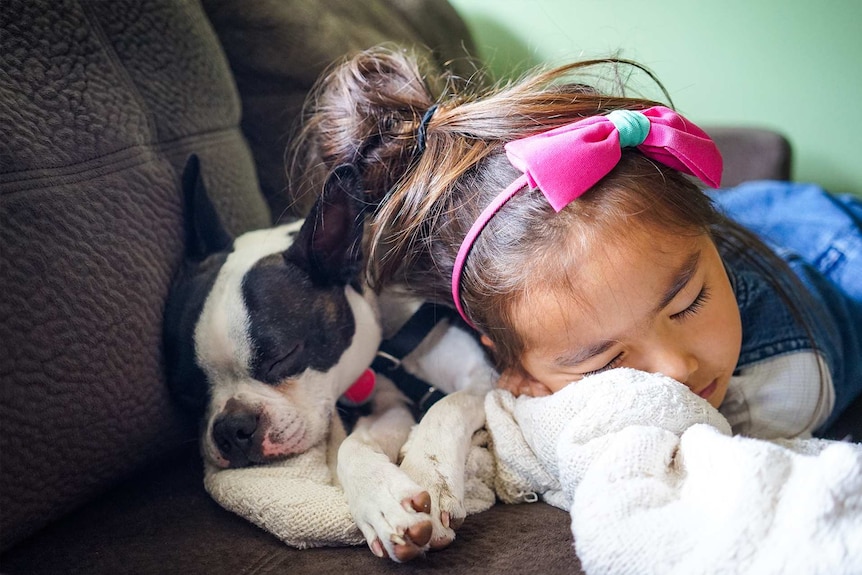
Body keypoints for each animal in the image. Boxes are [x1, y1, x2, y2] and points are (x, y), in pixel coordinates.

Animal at [165, 156, 496, 564]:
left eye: (282, 357)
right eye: (187, 393)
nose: (231, 428)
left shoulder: (484, 376)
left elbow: (447, 406)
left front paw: (429, 477)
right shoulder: (387, 403)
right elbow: (352, 445)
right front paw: (383, 502)